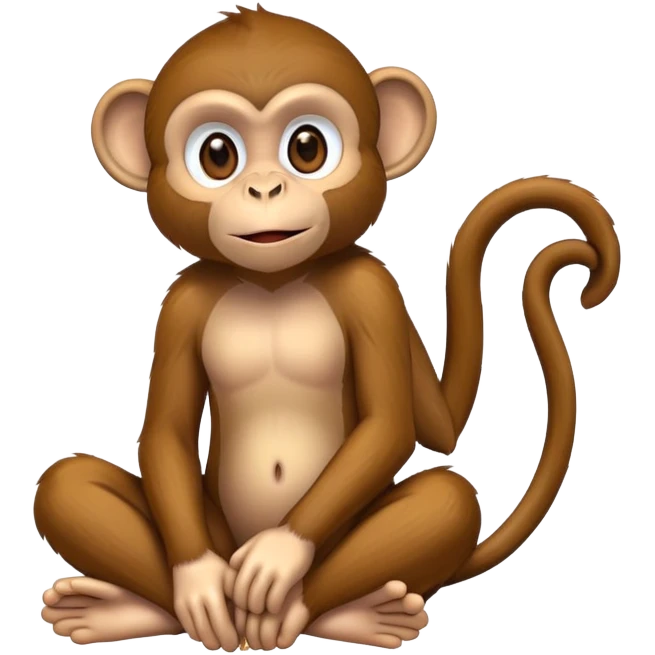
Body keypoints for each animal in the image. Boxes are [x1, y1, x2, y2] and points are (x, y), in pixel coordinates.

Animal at [34, 4, 622, 652]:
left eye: (308, 148)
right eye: (217, 156)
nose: (264, 188)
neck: (274, 280)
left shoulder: (373, 292)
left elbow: (388, 424)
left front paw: (278, 559)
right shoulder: (182, 304)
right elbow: (165, 429)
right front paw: (199, 587)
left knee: (447, 501)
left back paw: (340, 614)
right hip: (215, 529)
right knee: (65, 483)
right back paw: (121, 610)